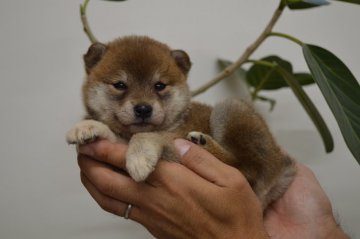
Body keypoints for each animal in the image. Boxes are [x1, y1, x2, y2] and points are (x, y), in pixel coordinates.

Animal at [67, 36, 296, 209]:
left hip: (231, 109)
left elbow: (144, 135)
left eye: (159, 85)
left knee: (246, 167)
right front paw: (87, 126)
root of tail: (282, 169)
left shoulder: (173, 141)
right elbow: (114, 133)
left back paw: (204, 143)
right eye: (120, 85)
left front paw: (139, 159)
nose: (143, 108)